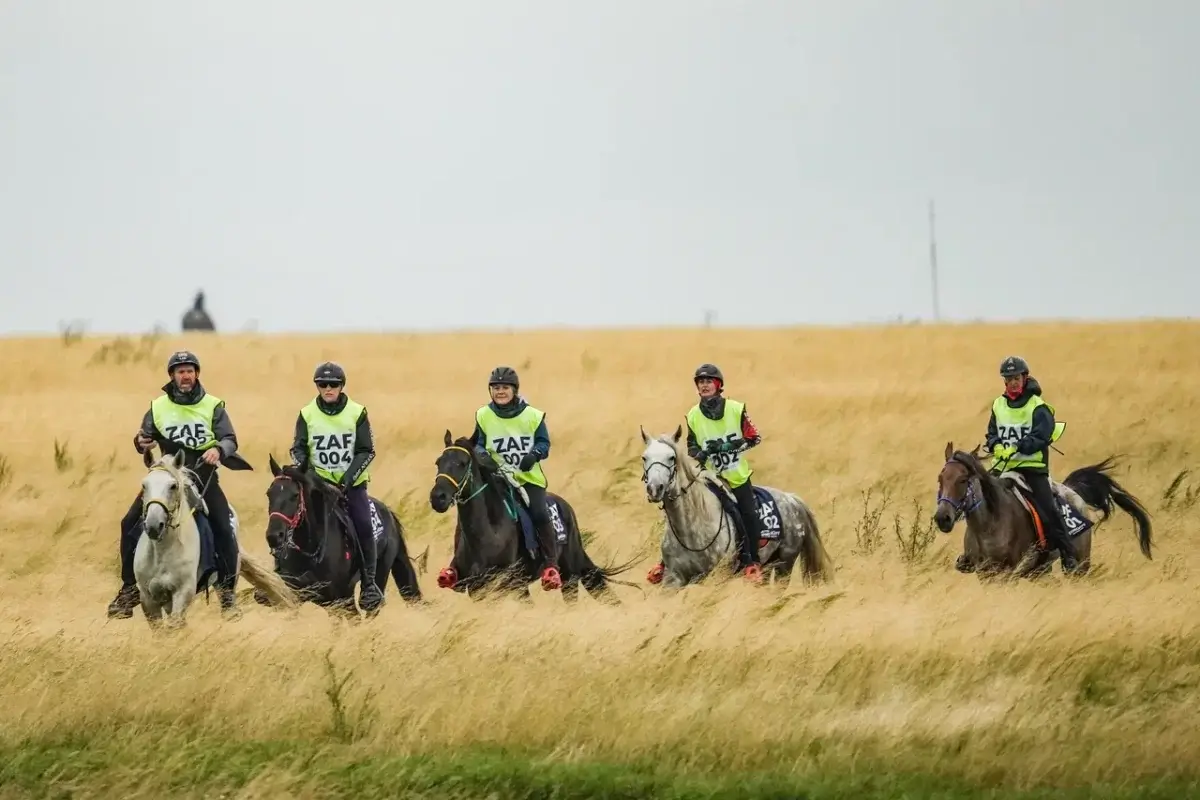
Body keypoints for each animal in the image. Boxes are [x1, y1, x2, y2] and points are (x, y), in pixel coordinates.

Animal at [133, 453, 295, 628]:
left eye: (173, 486)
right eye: (144, 485)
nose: (154, 525)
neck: (163, 552)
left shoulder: (182, 593)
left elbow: (175, 626)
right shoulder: (148, 599)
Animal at [259, 453, 427, 618]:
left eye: (295, 495)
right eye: (269, 494)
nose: (274, 536)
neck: (311, 549)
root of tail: (389, 514)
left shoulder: (340, 598)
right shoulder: (297, 595)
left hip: (379, 573)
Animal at [427, 434, 643, 604]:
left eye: (462, 463)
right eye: (438, 462)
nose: (438, 497)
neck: (490, 534)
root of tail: (567, 507)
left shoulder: (514, 585)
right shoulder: (477, 589)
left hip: (569, 575)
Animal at [638, 424, 835, 587]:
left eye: (671, 457)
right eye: (644, 458)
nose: (655, 488)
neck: (690, 528)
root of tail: (793, 499)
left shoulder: (716, 577)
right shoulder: (673, 579)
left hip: (785, 563)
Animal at [931, 441, 1147, 578]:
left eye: (963, 480)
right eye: (940, 479)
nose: (943, 518)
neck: (988, 526)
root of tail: (1072, 491)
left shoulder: (1006, 574)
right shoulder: (985, 574)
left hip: (1080, 564)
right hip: (1040, 569)